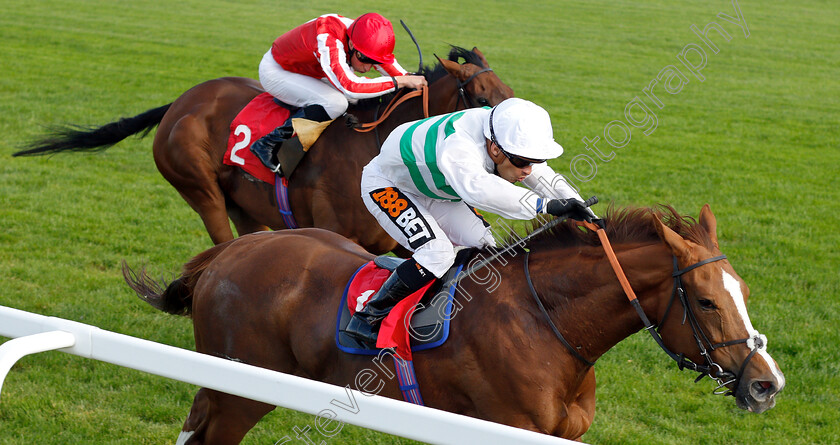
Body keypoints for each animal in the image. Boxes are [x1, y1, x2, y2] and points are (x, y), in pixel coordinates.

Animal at [14, 47, 512, 253]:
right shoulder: (343, 237)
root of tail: (180, 103)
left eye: (509, 93)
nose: (518, 161)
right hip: (200, 189)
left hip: (246, 207)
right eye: (480, 97)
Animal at [121, 205, 784, 440]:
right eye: (706, 302)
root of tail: (227, 253)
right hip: (241, 390)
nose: (766, 383)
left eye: (745, 292)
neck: (547, 326)